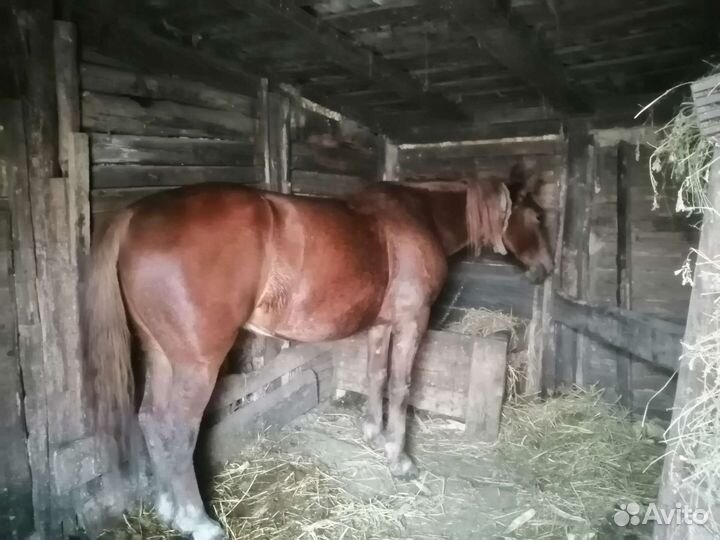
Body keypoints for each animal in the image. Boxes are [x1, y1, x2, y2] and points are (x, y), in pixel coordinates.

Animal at [84, 164, 553, 540]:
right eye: (537, 215)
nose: (546, 270)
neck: (419, 216)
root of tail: (134, 216)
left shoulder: (380, 327)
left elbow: (376, 377)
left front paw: (374, 435)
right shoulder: (411, 321)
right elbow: (402, 387)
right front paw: (399, 460)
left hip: (160, 354)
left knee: (151, 420)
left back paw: (168, 509)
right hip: (196, 363)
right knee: (177, 428)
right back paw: (197, 521)